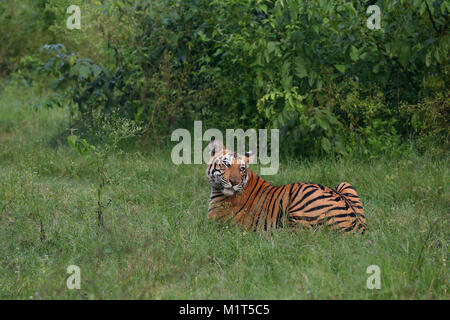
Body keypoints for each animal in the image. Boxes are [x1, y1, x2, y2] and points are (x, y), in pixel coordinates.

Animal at [206, 139, 368, 234]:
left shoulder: (214, 222)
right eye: (226, 164)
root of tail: (358, 226)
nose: (234, 182)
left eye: (242, 169)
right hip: (345, 184)